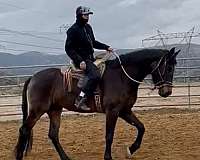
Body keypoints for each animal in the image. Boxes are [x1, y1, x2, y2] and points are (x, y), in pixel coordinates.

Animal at [14, 47, 180, 159]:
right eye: (168, 67)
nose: (167, 92)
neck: (121, 76)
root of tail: (33, 77)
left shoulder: (125, 111)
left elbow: (141, 127)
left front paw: (131, 150)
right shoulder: (112, 112)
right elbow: (109, 135)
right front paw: (108, 157)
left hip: (54, 110)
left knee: (53, 134)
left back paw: (66, 157)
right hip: (37, 110)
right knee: (24, 130)